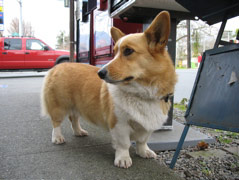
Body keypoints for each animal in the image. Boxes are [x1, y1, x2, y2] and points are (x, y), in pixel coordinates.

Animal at [41, 10, 176, 169]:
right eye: (115, 51)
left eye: (128, 51)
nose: (100, 73)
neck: (142, 93)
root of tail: (57, 67)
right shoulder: (119, 124)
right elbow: (124, 144)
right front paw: (123, 159)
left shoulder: (147, 127)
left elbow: (142, 141)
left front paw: (144, 152)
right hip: (59, 106)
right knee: (56, 122)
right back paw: (57, 137)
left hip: (77, 106)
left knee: (73, 118)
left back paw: (79, 131)